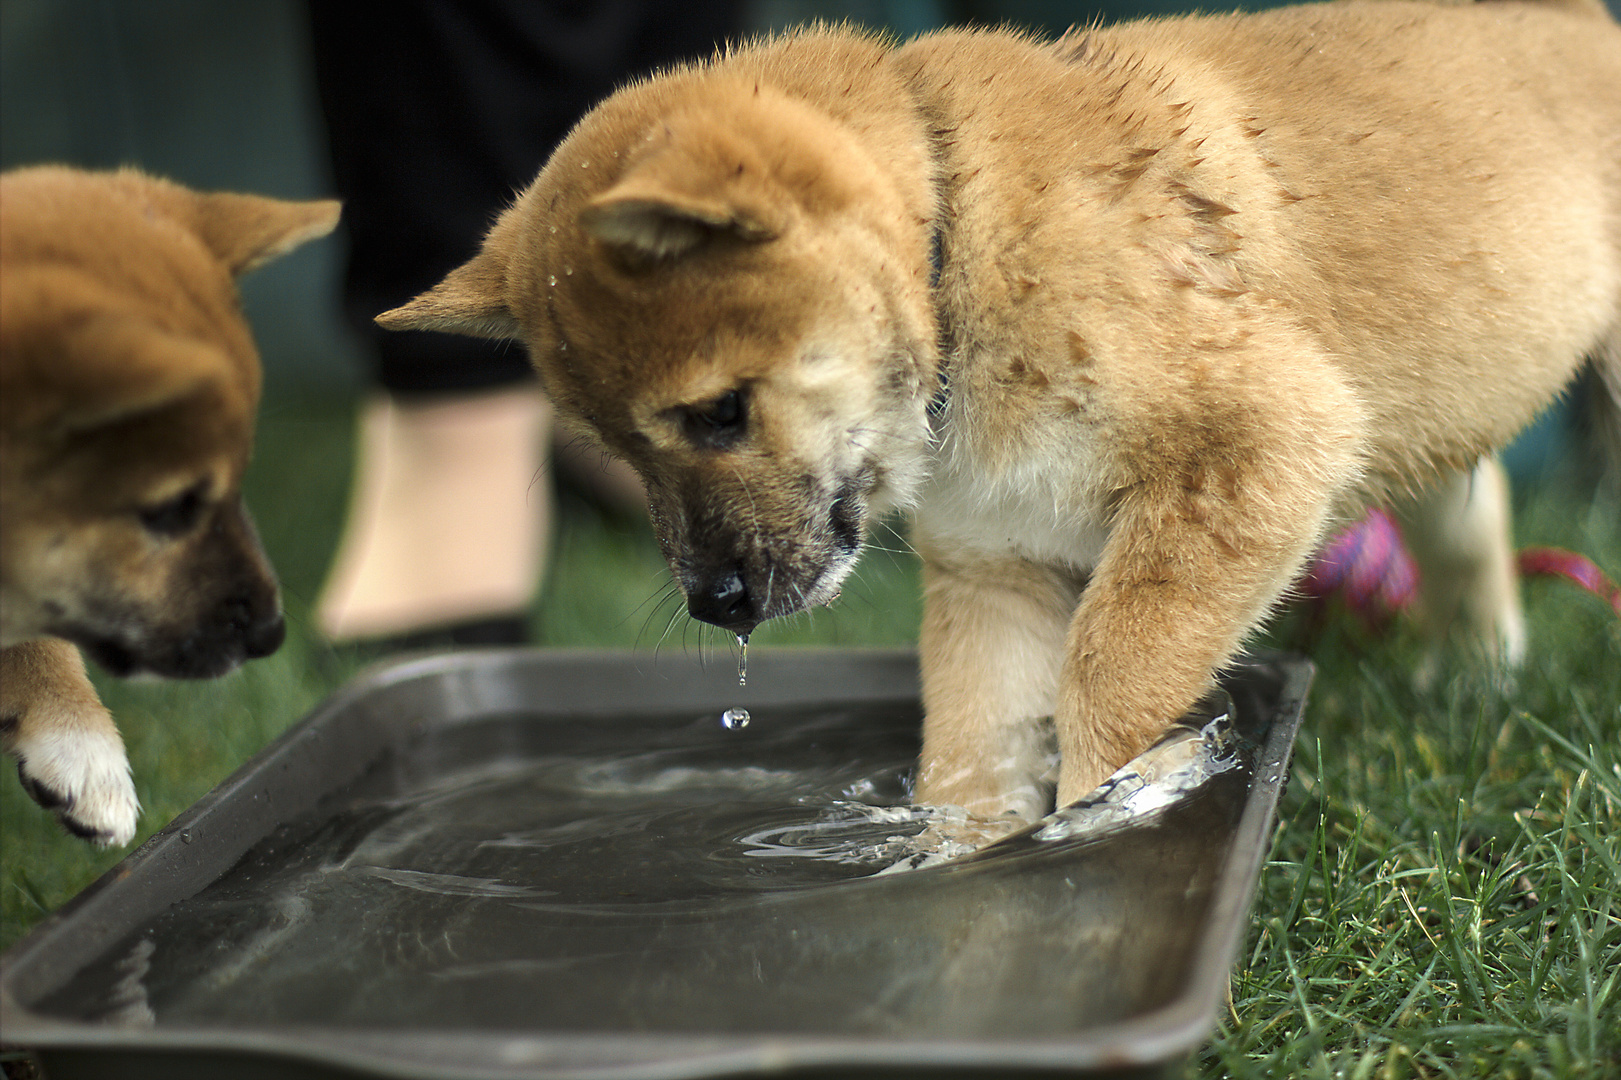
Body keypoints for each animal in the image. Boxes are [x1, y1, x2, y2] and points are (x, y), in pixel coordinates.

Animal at [382, 2, 1621, 817]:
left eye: (719, 414)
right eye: (614, 449)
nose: (712, 602)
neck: (957, 234)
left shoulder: (1259, 450)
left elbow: (1107, 684)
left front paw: (1097, 813)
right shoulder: (996, 570)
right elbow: (971, 759)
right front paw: (961, 859)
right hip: (1438, 419)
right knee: (1474, 521)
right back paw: (1476, 676)